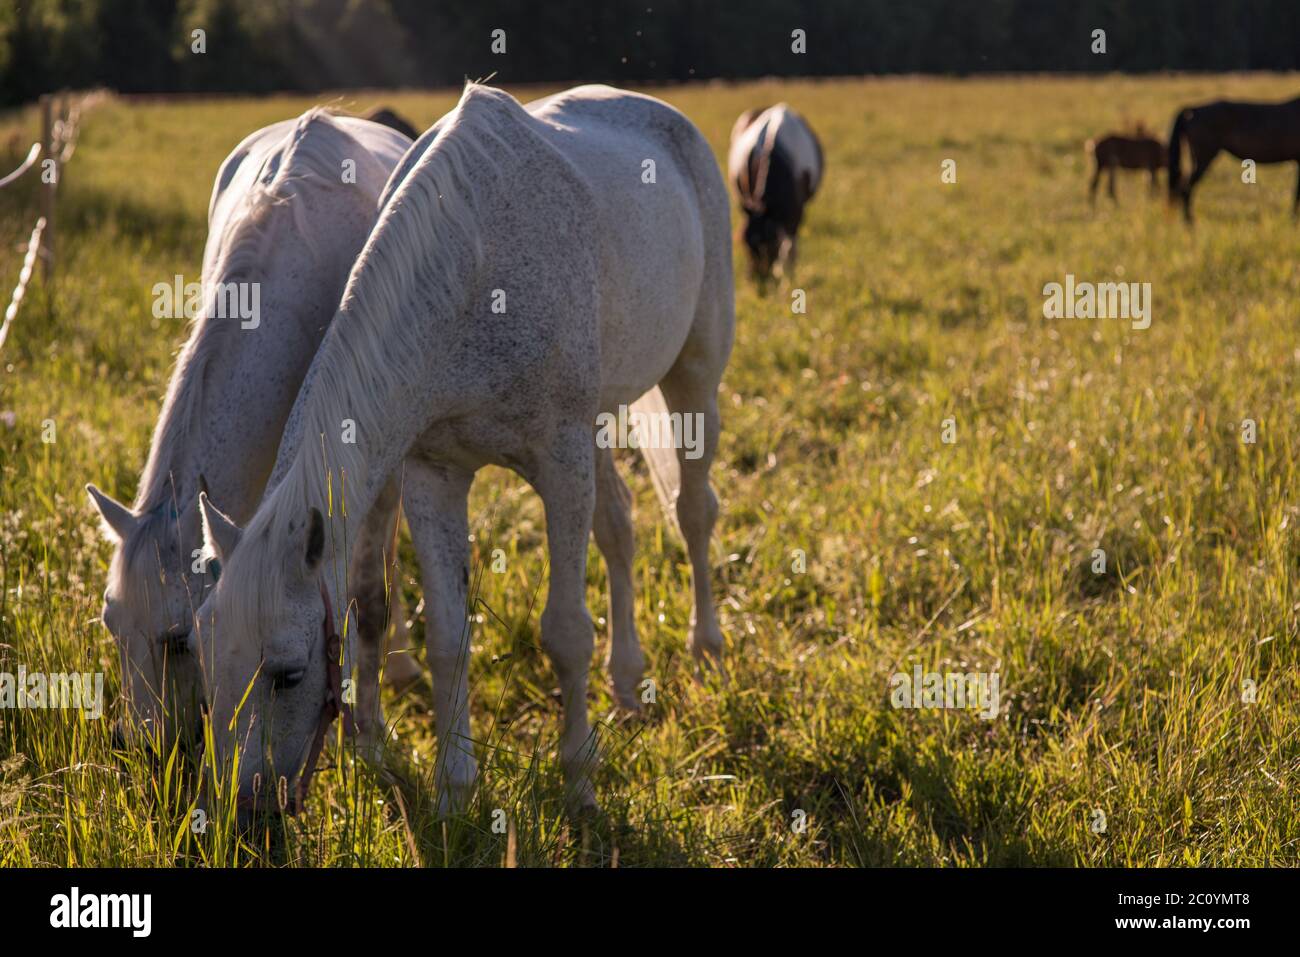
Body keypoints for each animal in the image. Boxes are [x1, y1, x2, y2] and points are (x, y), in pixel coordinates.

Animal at [191, 82, 734, 822]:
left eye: (288, 673)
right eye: (204, 656)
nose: (243, 812)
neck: (472, 274)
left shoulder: (560, 464)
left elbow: (565, 631)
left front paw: (579, 782)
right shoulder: (434, 476)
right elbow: (449, 638)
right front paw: (453, 792)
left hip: (693, 380)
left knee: (693, 510)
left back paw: (706, 649)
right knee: (620, 527)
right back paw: (626, 681)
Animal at [727, 104, 823, 283]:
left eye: (770, 244)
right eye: (744, 243)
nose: (758, 281)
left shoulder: (797, 212)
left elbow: (790, 247)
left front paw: (787, 275)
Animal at [1168, 96, 1300, 222]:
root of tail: (1192, 110)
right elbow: (1297, 192)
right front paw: (1293, 219)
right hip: (1205, 158)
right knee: (1186, 188)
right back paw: (1190, 223)